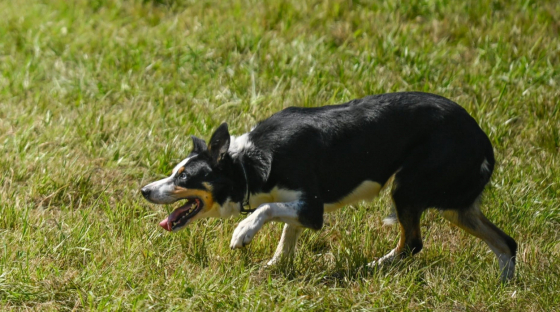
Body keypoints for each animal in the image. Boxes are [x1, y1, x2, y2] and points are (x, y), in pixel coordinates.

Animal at [142, 91, 520, 282]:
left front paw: (244, 232)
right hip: (456, 207)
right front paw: (274, 266)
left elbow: (266, 209)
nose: (144, 190)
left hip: (408, 188)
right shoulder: (297, 207)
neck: (250, 162)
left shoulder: (312, 208)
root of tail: (481, 138)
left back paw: (370, 268)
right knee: (507, 243)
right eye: (174, 173)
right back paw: (505, 288)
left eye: (183, 178)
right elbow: (286, 234)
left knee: (412, 243)